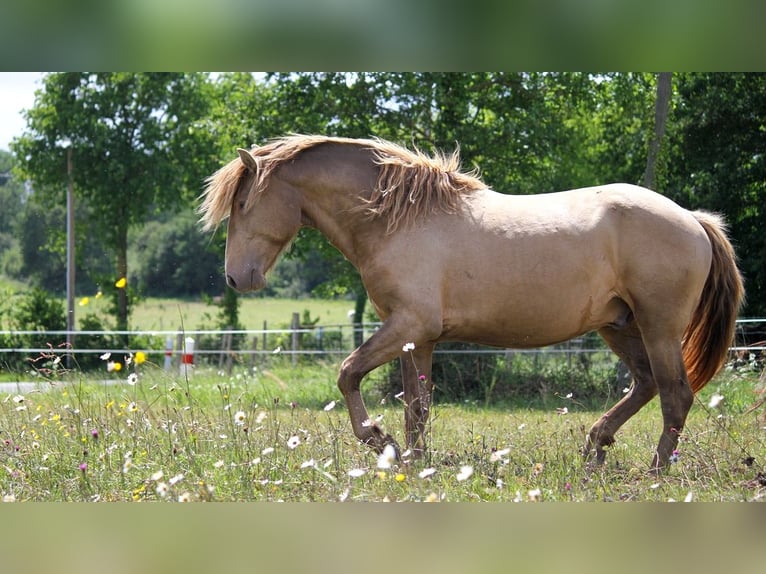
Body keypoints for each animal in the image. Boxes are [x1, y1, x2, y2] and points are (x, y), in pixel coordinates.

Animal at [201, 135, 748, 472]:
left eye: (243, 203)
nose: (235, 277)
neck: (396, 218)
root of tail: (693, 219)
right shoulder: (415, 338)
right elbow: (416, 406)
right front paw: (412, 462)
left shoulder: (407, 325)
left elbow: (348, 374)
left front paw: (379, 440)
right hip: (620, 326)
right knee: (647, 384)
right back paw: (596, 446)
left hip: (658, 327)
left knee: (675, 394)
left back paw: (656, 470)